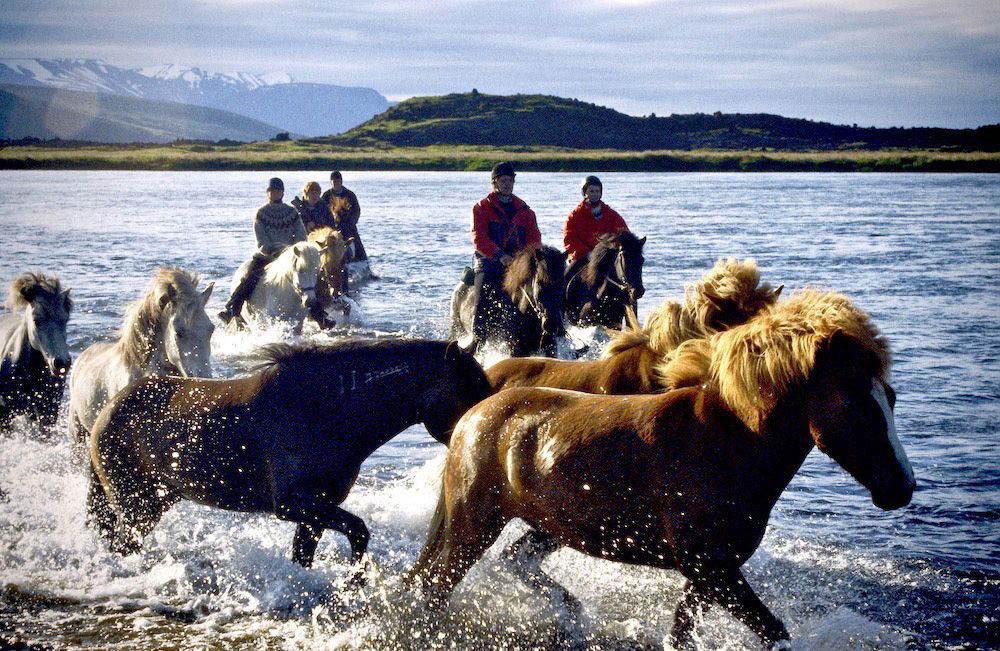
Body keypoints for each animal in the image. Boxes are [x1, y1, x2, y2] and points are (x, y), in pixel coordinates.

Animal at [87, 339, 493, 581]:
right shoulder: (292, 503)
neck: (325, 408)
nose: (482, 434)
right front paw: (356, 578)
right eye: (472, 391)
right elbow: (359, 530)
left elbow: (305, 557)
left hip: (158, 500)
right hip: (135, 507)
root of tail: (104, 413)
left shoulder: (316, 510)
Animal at [409, 289, 915, 649]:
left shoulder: (710, 574)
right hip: (474, 525)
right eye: (859, 407)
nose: (902, 487)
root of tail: (474, 415)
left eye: (891, 398)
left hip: (549, 526)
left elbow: (682, 632)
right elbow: (773, 633)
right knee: (433, 588)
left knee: (512, 563)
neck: (728, 445)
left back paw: (571, 615)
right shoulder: (709, 567)